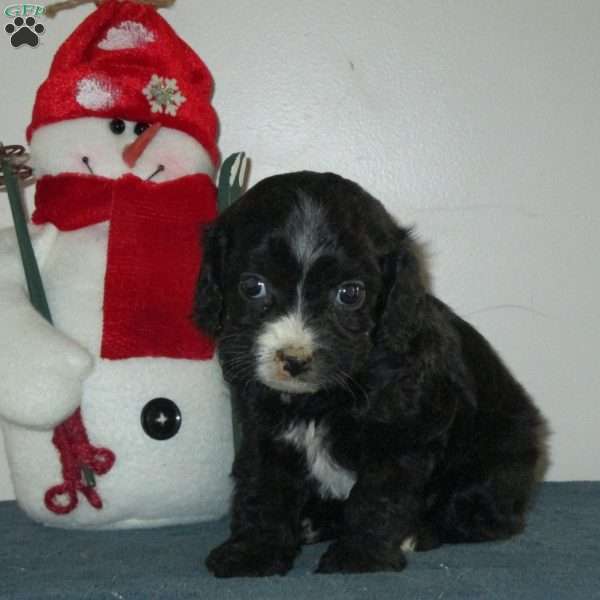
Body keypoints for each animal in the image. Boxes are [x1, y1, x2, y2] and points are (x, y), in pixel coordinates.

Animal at [196, 172, 548, 576]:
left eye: (350, 294)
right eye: (253, 286)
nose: (295, 359)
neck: (320, 399)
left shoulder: (401, 432)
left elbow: (378, 496)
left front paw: (359, 557)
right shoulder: (263, 429)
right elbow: (262, 487)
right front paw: (252, 552)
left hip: (498, 458)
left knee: (480, 513)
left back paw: (421, 532)